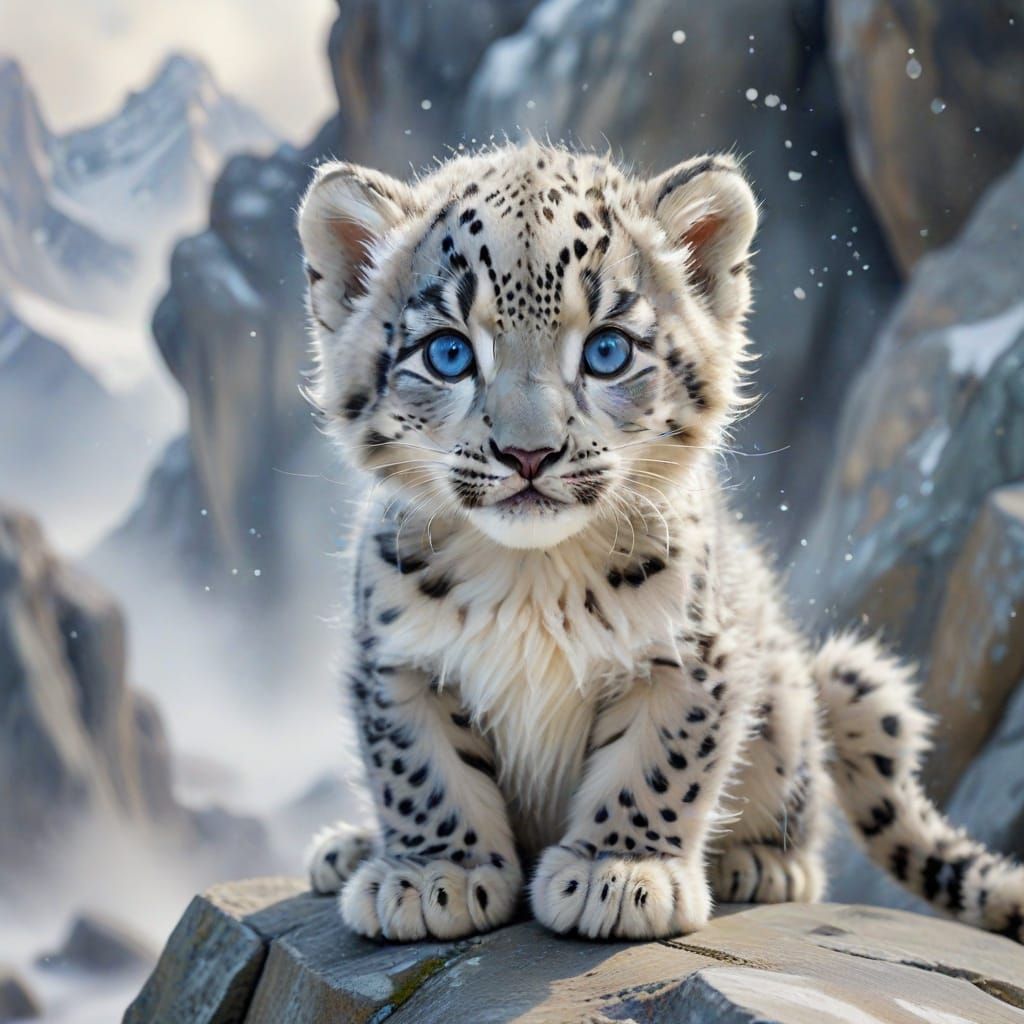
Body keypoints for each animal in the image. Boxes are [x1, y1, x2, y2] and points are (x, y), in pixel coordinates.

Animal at [297, 141, 1024, 943]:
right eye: (448, 354)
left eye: (607, 350)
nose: (529, 453)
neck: (531, 576)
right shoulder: (399, 658)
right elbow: (422, 769)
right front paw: (435, 875)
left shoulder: (687, 652)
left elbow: (658, 761)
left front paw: (618, 873)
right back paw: (348, 848)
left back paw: (764, 863)